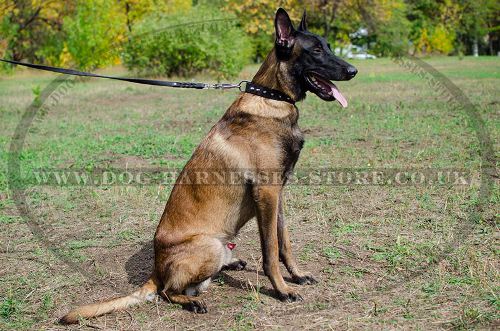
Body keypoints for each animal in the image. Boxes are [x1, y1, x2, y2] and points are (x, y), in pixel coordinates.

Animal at [60, 7, 356, 324]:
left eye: (328, 46)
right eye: (316, 51)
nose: (353, 71)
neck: (271, 99)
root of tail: (156, 267)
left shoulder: (278, 194)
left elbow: (284, 242)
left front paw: (297, 276)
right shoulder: (267, 192)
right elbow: (270, 250)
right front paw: (282, 290)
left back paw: (232, 264)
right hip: (209, 245)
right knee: (168, 291)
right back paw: (191, 301)